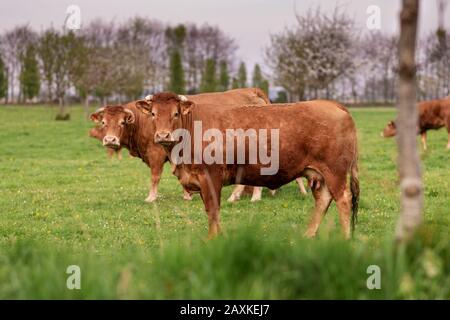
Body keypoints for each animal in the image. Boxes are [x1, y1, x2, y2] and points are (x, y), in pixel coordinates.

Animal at [89, 87, 276, 202]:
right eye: (104, 122)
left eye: (122, 122)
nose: (110, 140)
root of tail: (251, 90)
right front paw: (188, 195)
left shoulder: (156, 153)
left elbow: (155, 176)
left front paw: (151, 198)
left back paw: (253, 196)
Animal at [135, 92, 360, 238]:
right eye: (153, 114)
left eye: (175, 113)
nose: (163, 135)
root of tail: (332, 104)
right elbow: (211, 210)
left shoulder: (211, 177)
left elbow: (213, 210)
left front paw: (212, 239)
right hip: (317, 174)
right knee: (323, 199)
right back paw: (307, 235)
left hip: (335, 171)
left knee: (343, 200)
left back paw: (345, 238)